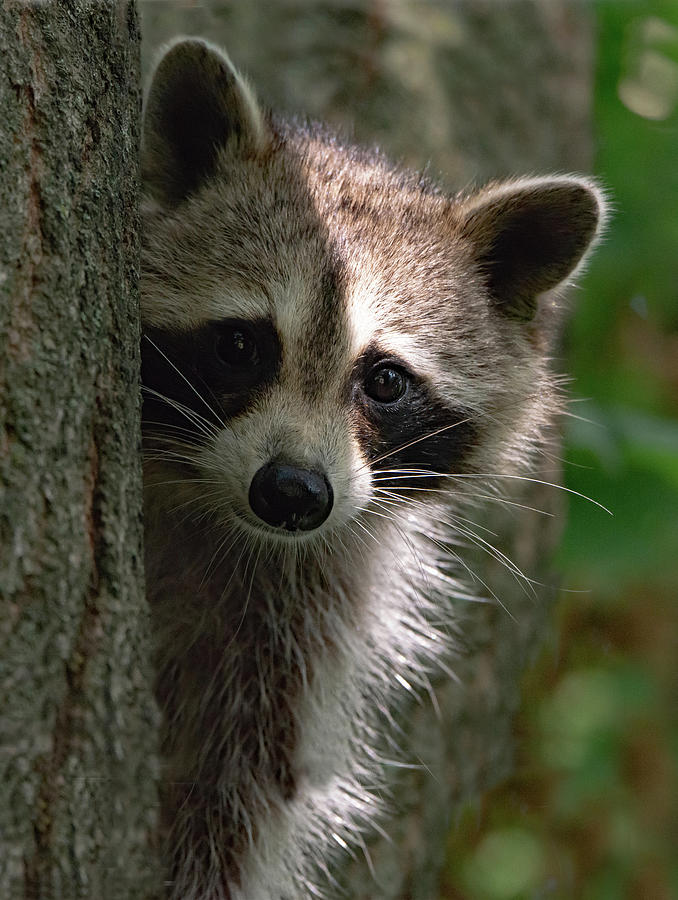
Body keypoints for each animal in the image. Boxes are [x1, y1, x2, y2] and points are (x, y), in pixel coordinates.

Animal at [141, 37, 608, 900]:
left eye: (385, 381)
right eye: (240, 344)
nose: (293, 491)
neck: (215, 511)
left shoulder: (298, 631)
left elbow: (239, 796)